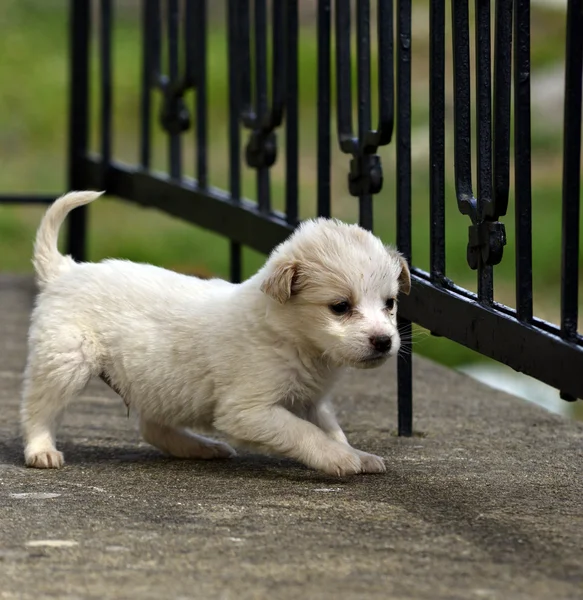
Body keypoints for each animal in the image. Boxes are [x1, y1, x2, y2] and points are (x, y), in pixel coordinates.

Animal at [19, 191, 410, 474]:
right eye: (340, 306)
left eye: (390, 303)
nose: (384, 342)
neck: (291, 336)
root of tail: (66, 270)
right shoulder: (248, 410)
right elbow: (305, 433)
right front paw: (339, 459)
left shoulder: (311, 400)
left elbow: (330, 429)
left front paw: (356, 454)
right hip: (65, 361)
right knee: (38, 409)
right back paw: (42, 450)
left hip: (159, 383)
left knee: (153, 428)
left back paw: (201, 447)